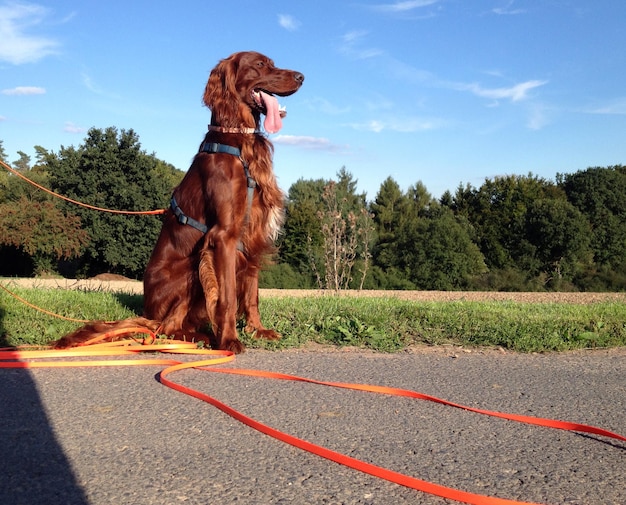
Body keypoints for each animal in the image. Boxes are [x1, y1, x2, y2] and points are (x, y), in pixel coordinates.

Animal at [54, 50, 304, 350]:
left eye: (272, 63)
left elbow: (251, 295)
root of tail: (148, 312)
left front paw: (257, 330)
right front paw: (229, 340)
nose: (302, 77)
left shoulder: (252, 235)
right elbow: (227, 298)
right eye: (260, 64)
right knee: (166, 327)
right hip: (191, 268)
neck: (238, 141)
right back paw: (202, 337)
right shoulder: (224, 236)